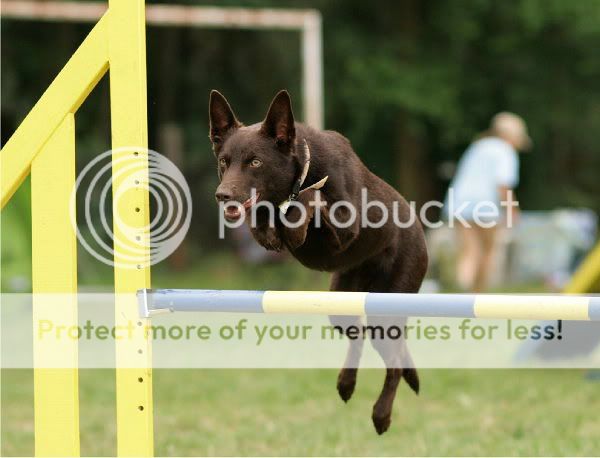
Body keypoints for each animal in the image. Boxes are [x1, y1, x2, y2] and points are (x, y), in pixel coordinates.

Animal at [209, 89, 428, 434]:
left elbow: (311, 197)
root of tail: (419, 228)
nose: (223, 196)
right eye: (223, 162)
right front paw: (272, 231)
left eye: (255, 161)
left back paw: (381, 415)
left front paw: (294, 223)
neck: (300, 170)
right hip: (341, 304)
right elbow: (267, 218)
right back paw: (346, 384)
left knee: (392, 362)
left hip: (389, 303)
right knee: (359, 336)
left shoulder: (345, 228)